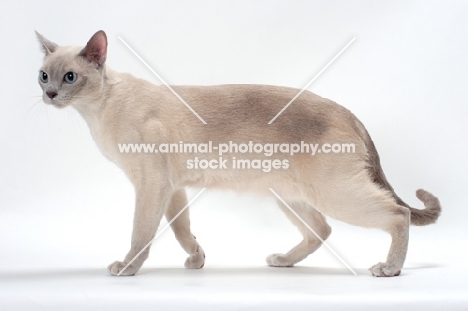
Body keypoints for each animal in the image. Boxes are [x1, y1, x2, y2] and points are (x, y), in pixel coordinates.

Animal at [35, 29, 438, 278]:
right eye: (43, 76)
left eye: (70, 77)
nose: (50, 94)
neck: (96, 112)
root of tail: (348, 112)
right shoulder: (171, 188)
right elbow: (182, 230)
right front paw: (197, 259)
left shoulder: (152, 186)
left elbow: (141, 233)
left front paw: (128, 268)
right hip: (291, 195)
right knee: (322, 230)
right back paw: (283, 261)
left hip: (333, 193)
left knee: (398, 214)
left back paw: (389, 269)